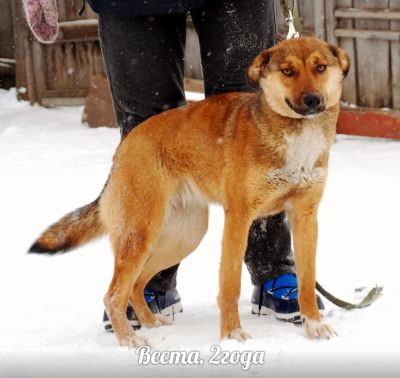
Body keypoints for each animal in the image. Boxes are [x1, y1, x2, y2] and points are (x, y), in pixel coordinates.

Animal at [30, 37, 350, 346]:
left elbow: (307, 281)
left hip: (183, 235)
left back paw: (151, 321)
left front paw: (314, 325)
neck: (296, 135)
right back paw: (130, 338)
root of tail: (124, 146)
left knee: (136, 284)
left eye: (320, 67)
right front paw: (232, 335)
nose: (312, 100)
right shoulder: (239, 219)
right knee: (113, 295)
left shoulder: (305, 217)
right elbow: (230, 285)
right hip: (141, 234)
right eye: (288, 71)